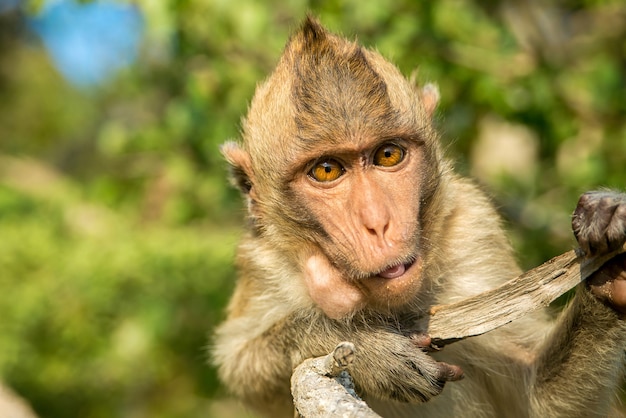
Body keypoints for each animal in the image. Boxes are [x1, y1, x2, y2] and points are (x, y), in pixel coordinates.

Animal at [211, 17, 624, 418]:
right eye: (327, 170)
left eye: (388, 155)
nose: (378, 222)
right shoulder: (263, 265)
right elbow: (240, 366)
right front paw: (371, 350)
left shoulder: (474, 230)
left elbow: (533, 398)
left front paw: (610, 270)